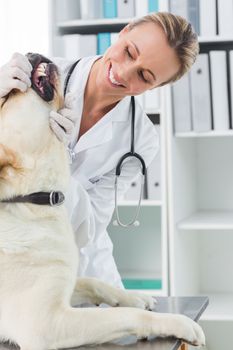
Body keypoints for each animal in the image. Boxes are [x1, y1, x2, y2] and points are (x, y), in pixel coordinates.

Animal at [0, 52, 204, 350]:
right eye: (6, 97)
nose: (27, 54)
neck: (32, 201)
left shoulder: (67, 289)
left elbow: (93, 282)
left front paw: (135, 297)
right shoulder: (46, 324)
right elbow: (125, 316)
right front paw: (177, 322)